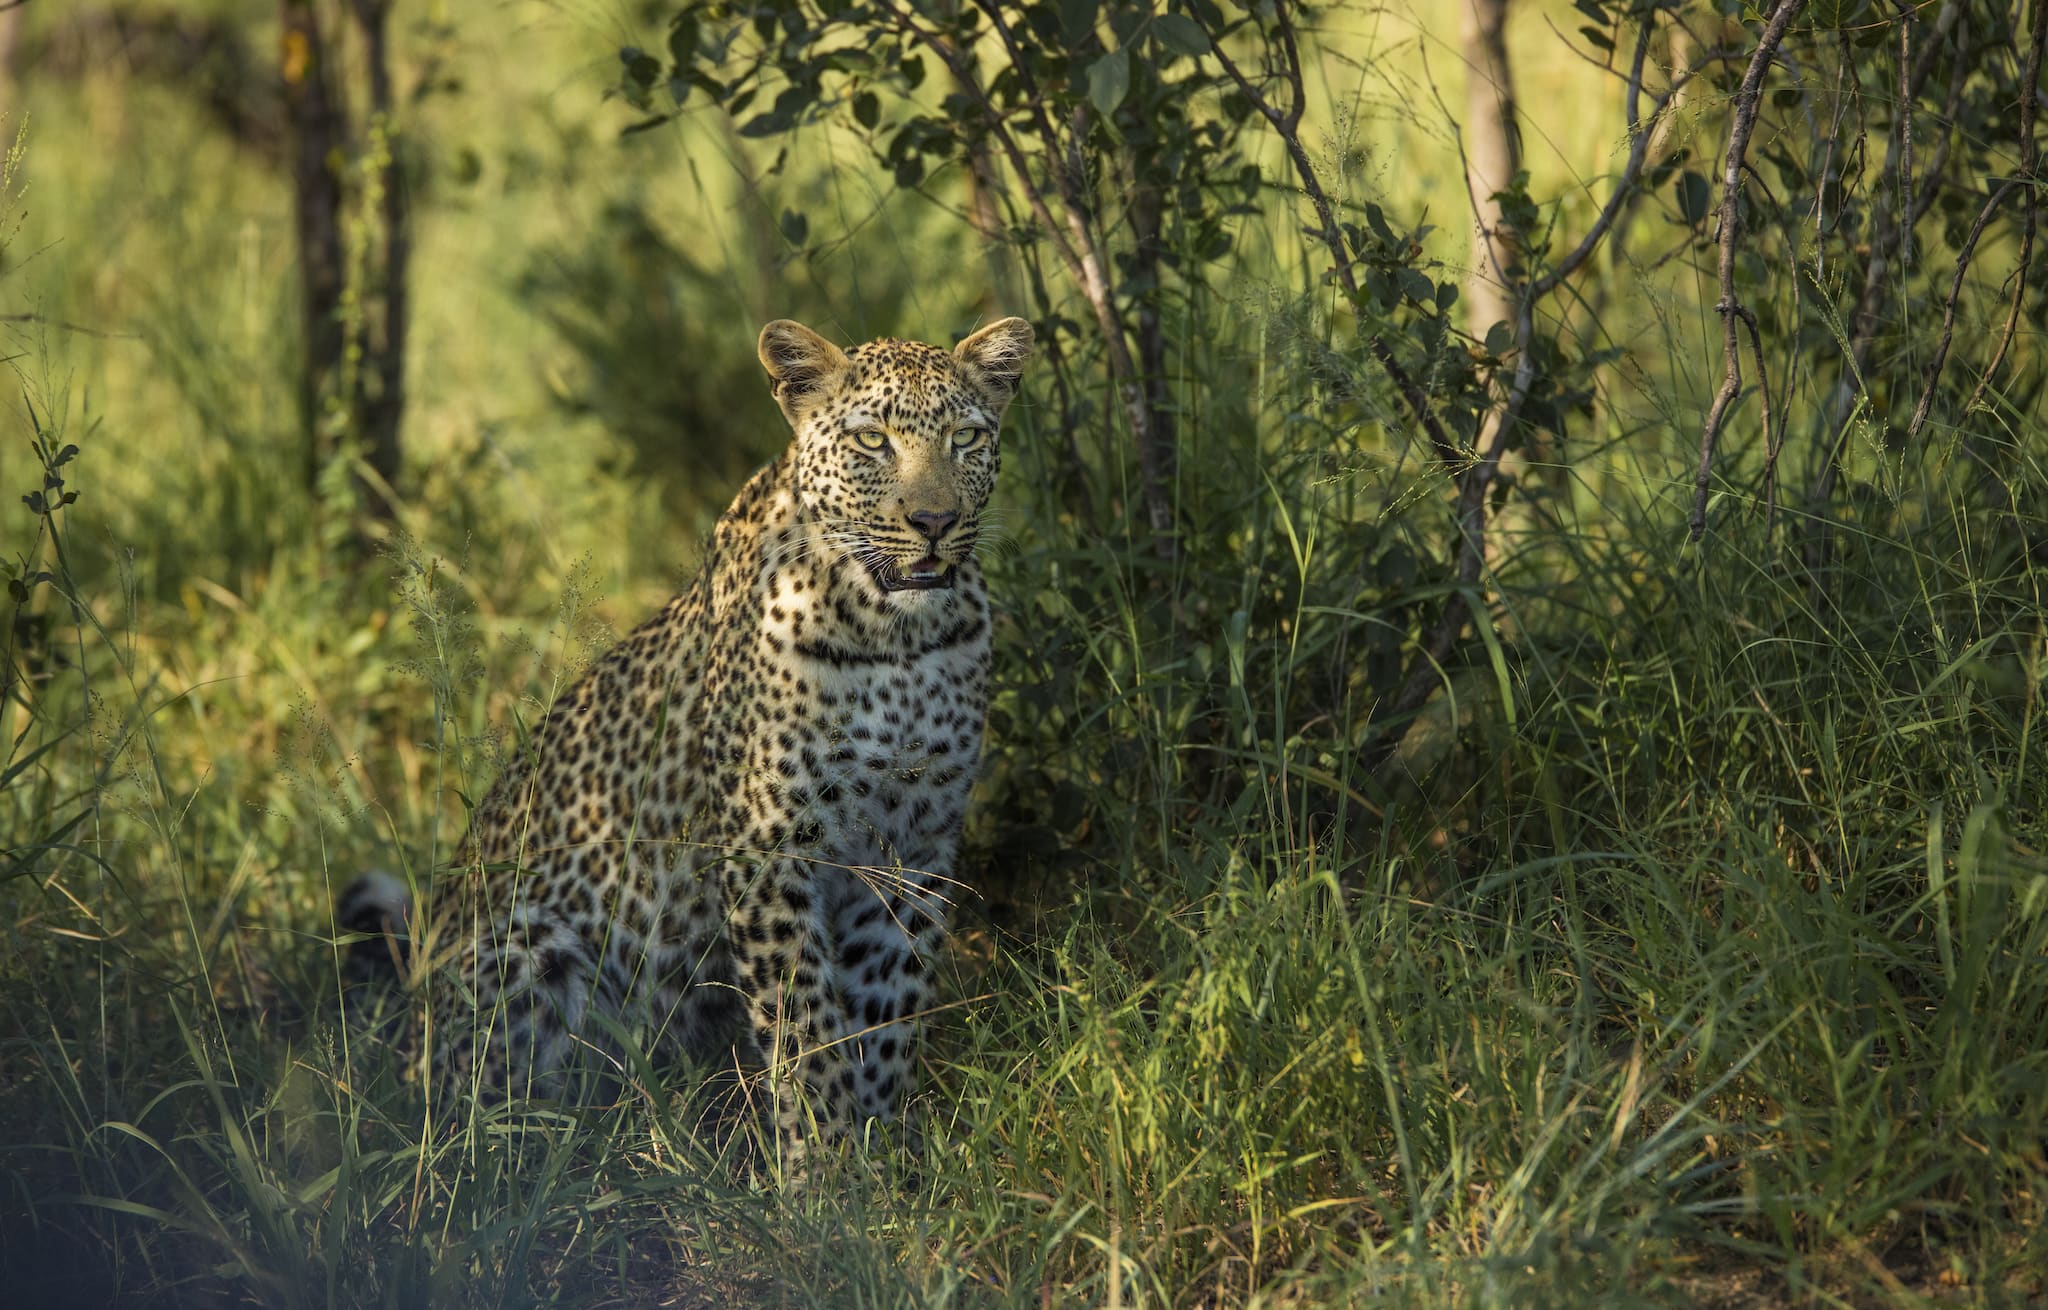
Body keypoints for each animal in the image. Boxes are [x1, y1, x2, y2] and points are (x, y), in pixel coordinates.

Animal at [344, 317, 1040, 1162]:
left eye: (966, 438)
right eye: (872, 440)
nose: (934, 524)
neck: (896, 641)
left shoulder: (916, 846)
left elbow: (888, 1012)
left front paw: (882, 1153)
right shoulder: (769, 844)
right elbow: (806, 1026)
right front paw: (823, 1168)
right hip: (525, 948)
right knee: (482, 1110)